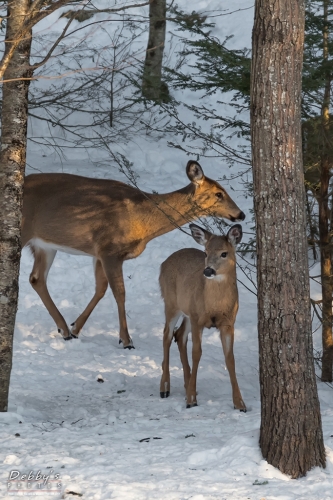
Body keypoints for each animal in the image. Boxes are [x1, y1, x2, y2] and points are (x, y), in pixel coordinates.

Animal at [21, 160, 244, 348]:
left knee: (36, 278)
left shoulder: (99, 253)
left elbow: (101, 289)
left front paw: (76, 327)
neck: (143, 219)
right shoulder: (110, 250)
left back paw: (64, 329)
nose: (241, 214)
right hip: (24, 232)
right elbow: (120, 293)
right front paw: (126, 340)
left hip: (45, 246)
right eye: (218, 193)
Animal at [158, 223, 244, 410]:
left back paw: (187, 385)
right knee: (167, 335)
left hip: (188, 312)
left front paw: (240, 403)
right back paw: (165, 388)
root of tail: (163, 263)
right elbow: (197, 353)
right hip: (171, 303)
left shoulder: (228, 323)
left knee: (179, 334)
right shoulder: (198, 320)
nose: (208, 270)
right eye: (205, 252)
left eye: (224, 253)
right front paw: (191, 401)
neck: (215, 305)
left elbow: (230, 358)